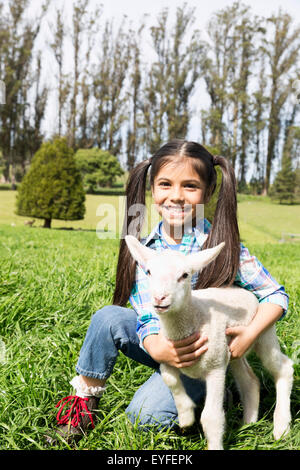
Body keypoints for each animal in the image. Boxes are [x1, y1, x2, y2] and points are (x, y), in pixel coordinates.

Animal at [124, 235, 292, 452]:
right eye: (149, 272)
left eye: (184, 275)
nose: (159, 298)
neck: (193, 317)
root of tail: (242, 291)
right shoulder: (167, 355)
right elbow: (170, 379)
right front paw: (186, 417)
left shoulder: (216, 367)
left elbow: (211, 418)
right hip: (232, 350)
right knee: (249, 380)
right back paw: (248, 424)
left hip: (263, 334)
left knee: (283, 368)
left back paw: (281, 428)